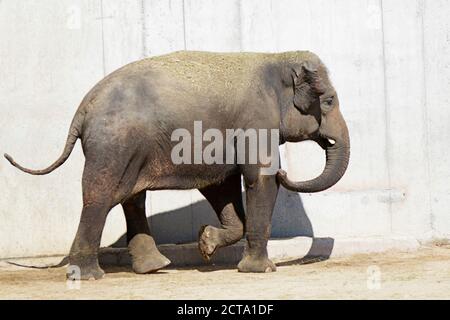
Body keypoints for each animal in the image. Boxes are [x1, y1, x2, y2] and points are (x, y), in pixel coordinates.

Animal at [4, 50, 352, 280]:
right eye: (329, 101)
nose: (286, 171)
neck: (276, 59)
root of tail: (83, 108)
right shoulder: (257, 120)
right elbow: (259, 179)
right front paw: (262, 270)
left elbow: (220, 185)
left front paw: (206, 243)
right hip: (113, 146)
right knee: (100, 199)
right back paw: (90, 276)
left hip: (128, 149)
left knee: (132, 198)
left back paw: (154, 268)